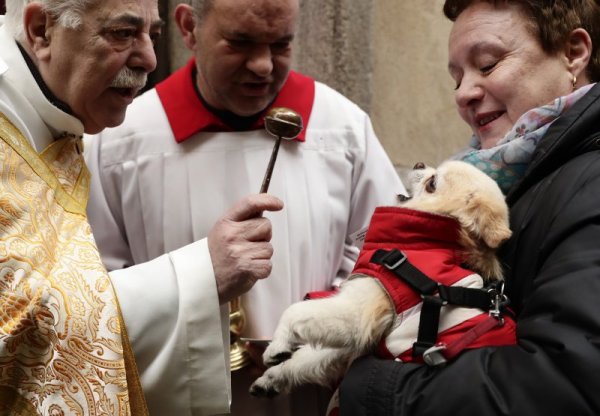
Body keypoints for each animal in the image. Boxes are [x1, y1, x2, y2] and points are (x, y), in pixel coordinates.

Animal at [248, 160, 516, 400]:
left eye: (432, 183)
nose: (419, 164)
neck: (421, 243)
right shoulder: (362, 340)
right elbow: (309, 357)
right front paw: (274, 376)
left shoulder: (360, 312)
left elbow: (295, 311)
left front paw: (277, 345)